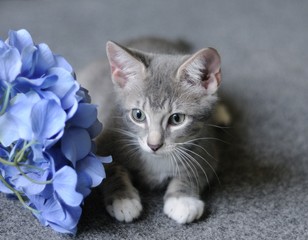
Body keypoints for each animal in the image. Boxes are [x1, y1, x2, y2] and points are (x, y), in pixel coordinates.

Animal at [78, 37, 225, 223]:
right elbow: (108, 169)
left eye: (177, 119)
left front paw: (183, 200)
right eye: (138, 115)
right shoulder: (105, 137)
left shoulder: (206, 145)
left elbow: (194, 170)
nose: (154, 145)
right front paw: (123, 199)